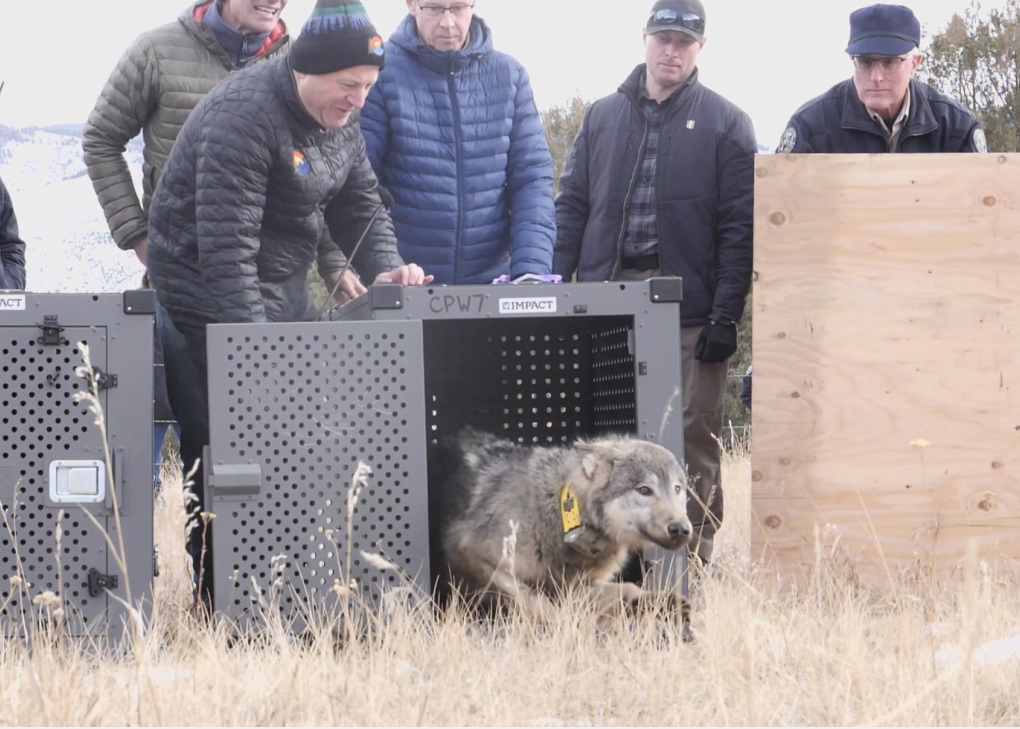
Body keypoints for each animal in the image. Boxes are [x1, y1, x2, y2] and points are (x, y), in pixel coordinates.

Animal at [429, 427, 692, 621]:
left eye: (677, 489)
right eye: (644, 490)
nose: (681, 529)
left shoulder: (576, 585)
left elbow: (626, 589)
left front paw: (667, 603)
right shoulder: (469, 552)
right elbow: (532, 598)